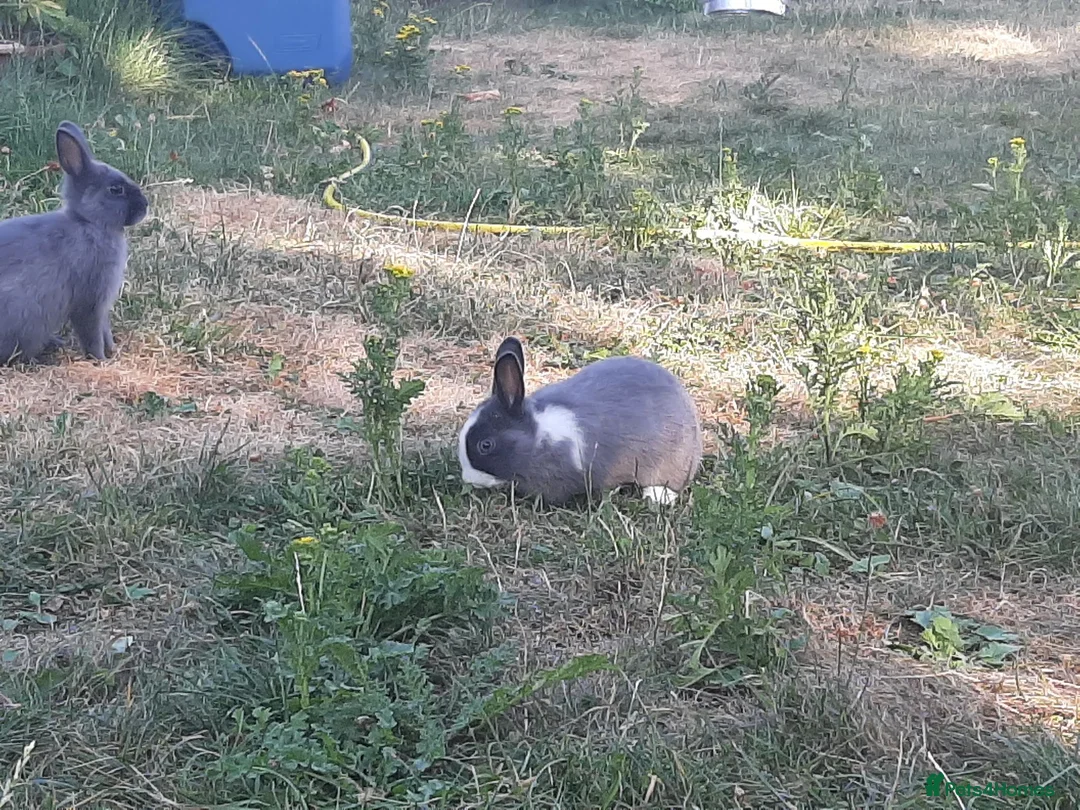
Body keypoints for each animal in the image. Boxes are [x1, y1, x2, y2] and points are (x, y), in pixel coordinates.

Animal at [0, 120, 149, 365]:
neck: (89, 222)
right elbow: (92, 334)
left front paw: (112, 352)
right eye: (115, 190)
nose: (145, 205)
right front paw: (101, 361)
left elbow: (104, 331)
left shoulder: (101, 305)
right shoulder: (90, 302)